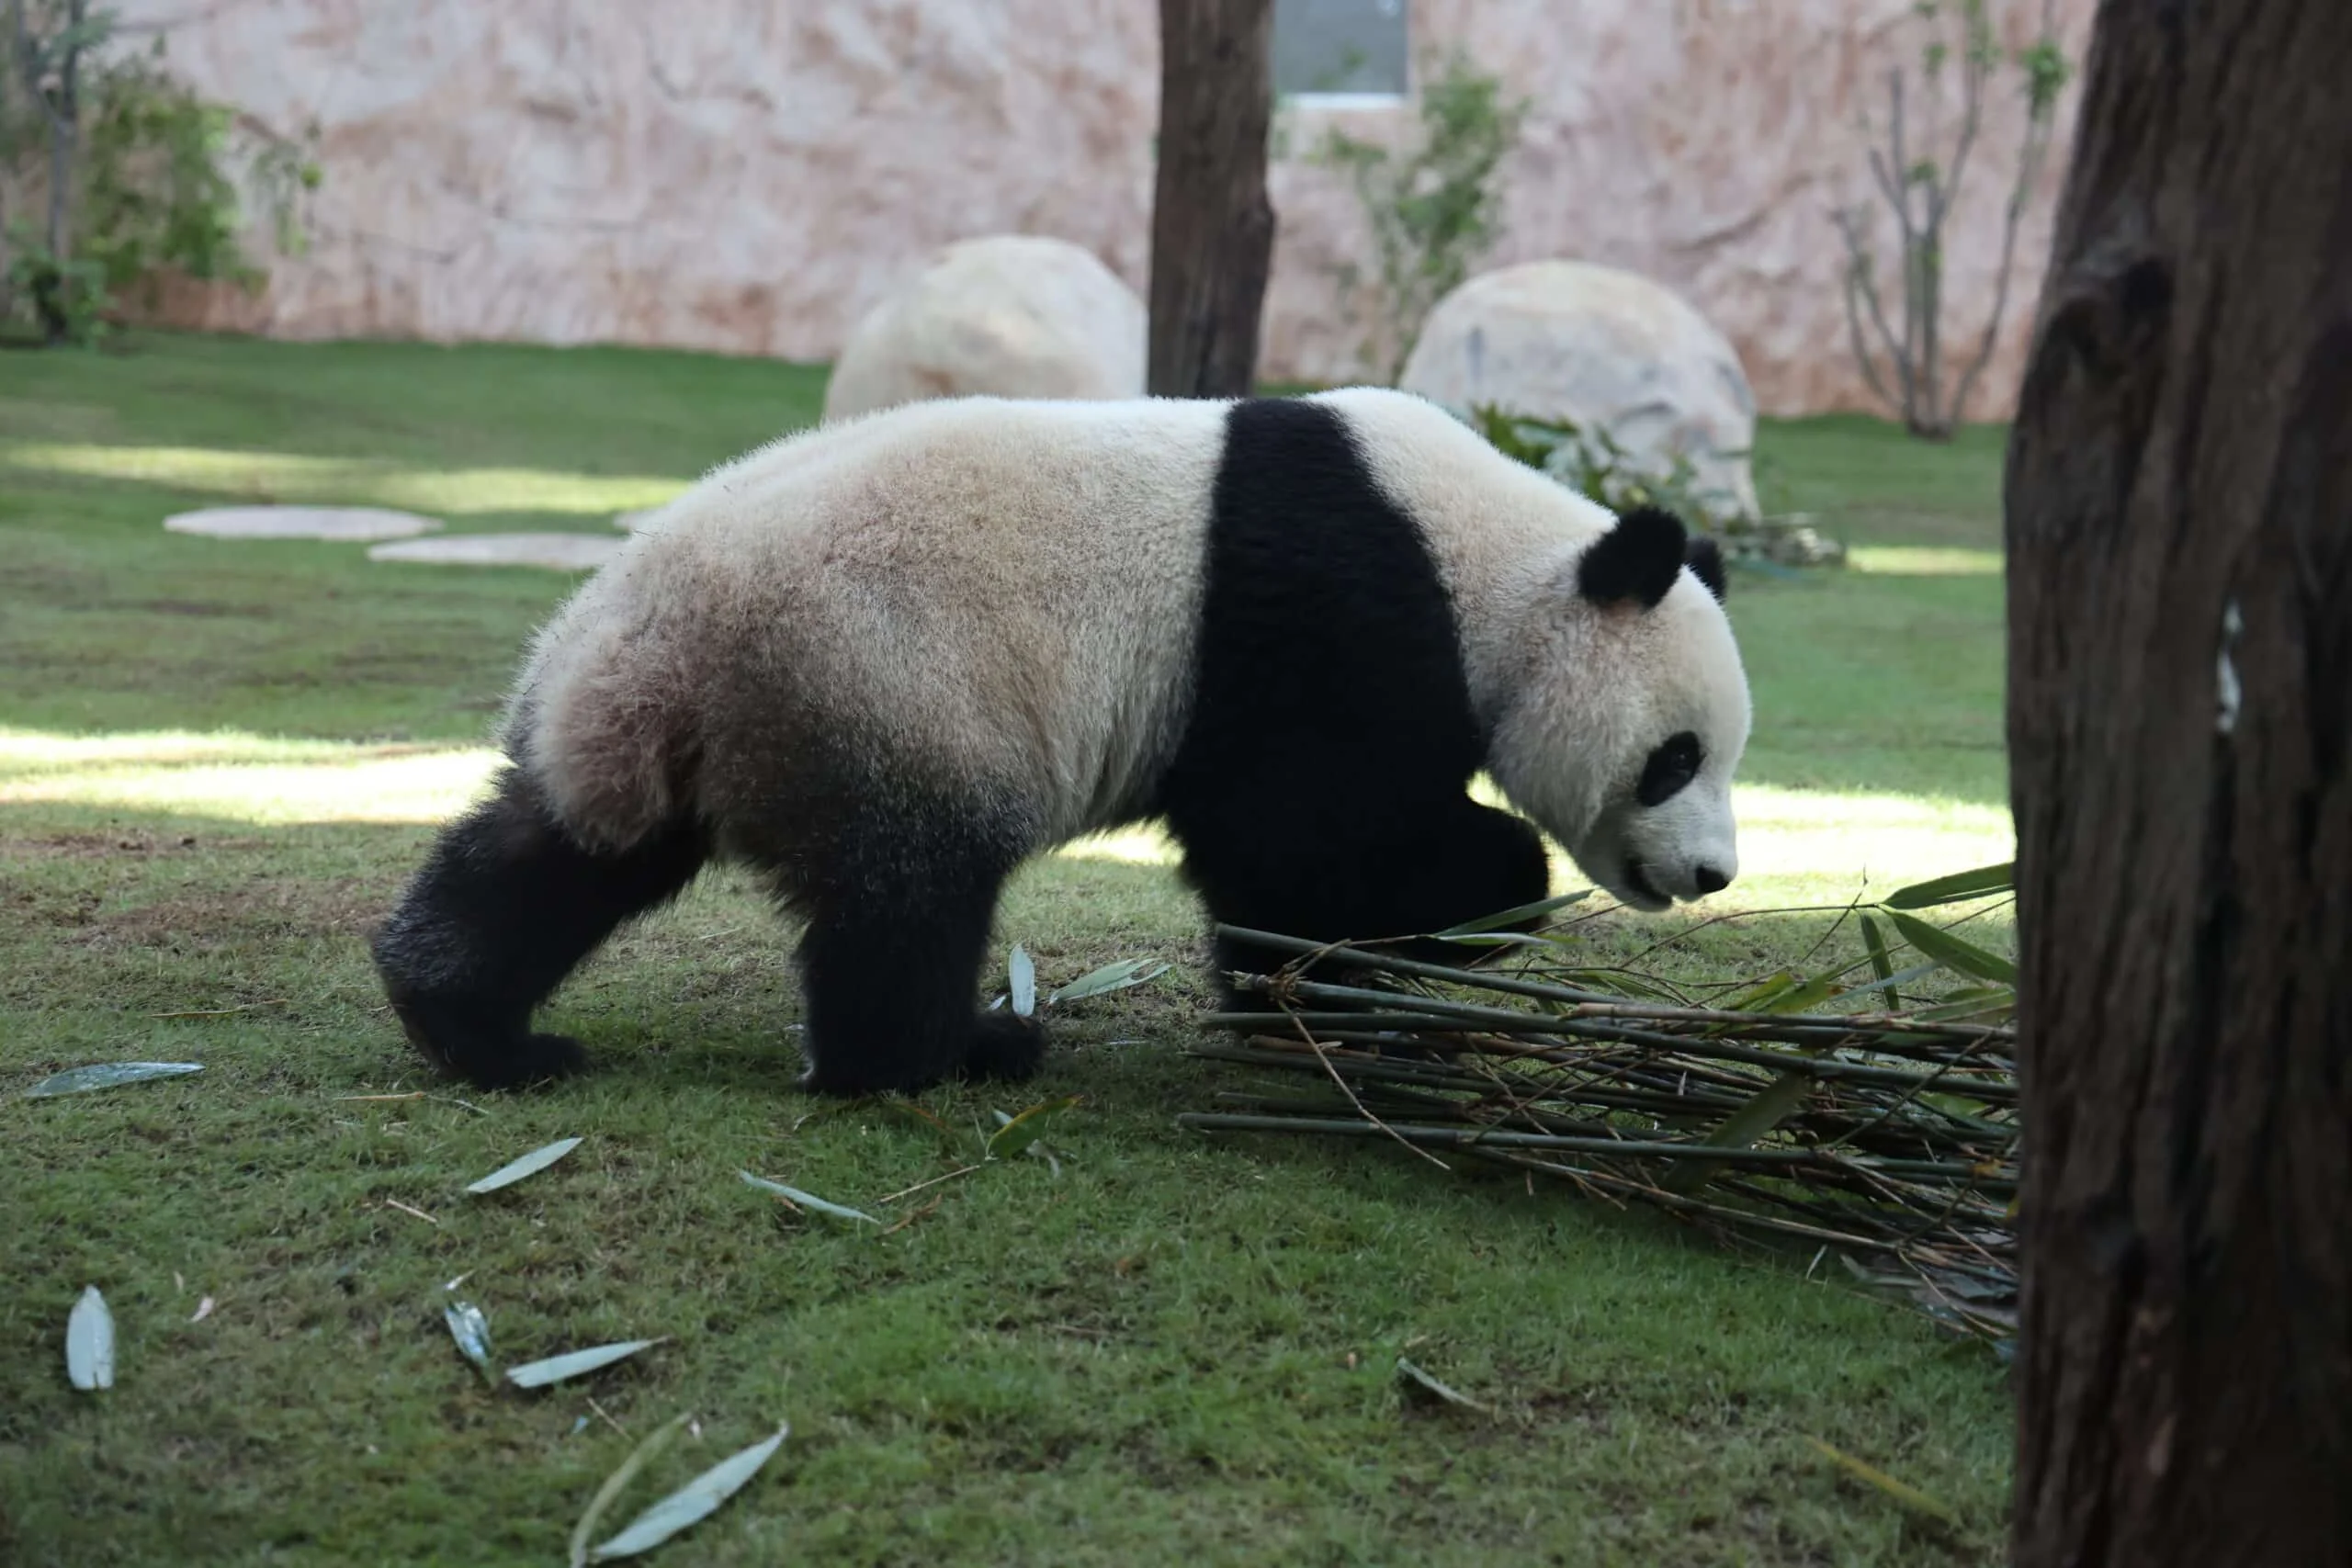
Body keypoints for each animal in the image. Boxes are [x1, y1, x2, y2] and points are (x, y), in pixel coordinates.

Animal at [371, 388, 1752, 1097]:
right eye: (1678, 756)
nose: (1712, 874)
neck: (1493, 560)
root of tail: (653, 647)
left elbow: (1278, 866)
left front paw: (1315, 1011)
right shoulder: (1326, 611)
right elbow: (1306, 835)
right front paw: (1473, 901)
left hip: (686, 737)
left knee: (559, 856)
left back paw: (470, 1024)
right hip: (882, 684)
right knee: (906, 898)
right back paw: (947, 1052)